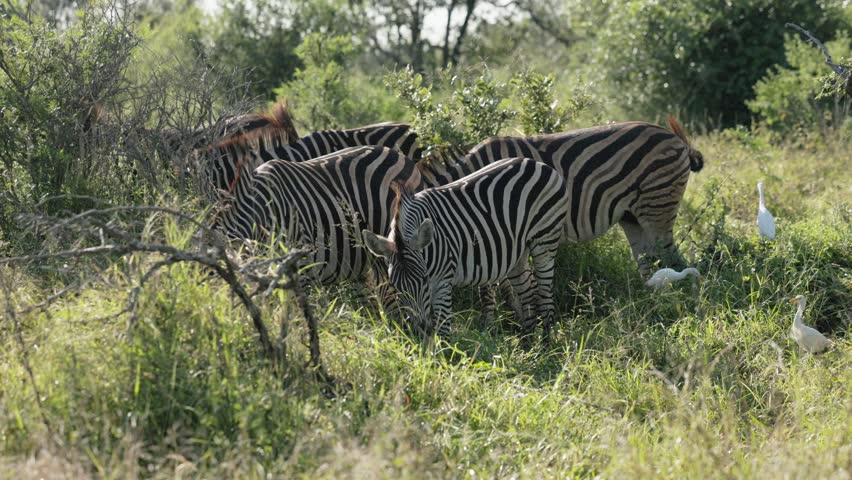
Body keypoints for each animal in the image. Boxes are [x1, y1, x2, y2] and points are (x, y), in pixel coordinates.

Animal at [362, 157, 570, 339]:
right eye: (396, 287)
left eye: (424, 279)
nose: (420, 330)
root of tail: (538, 163)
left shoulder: (443, 281)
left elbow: (443, 328)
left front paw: (444, 356)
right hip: (518, 253)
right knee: (528, 294)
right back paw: (528, 345)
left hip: (545, 239)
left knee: (544, 294)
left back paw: (546, 345)